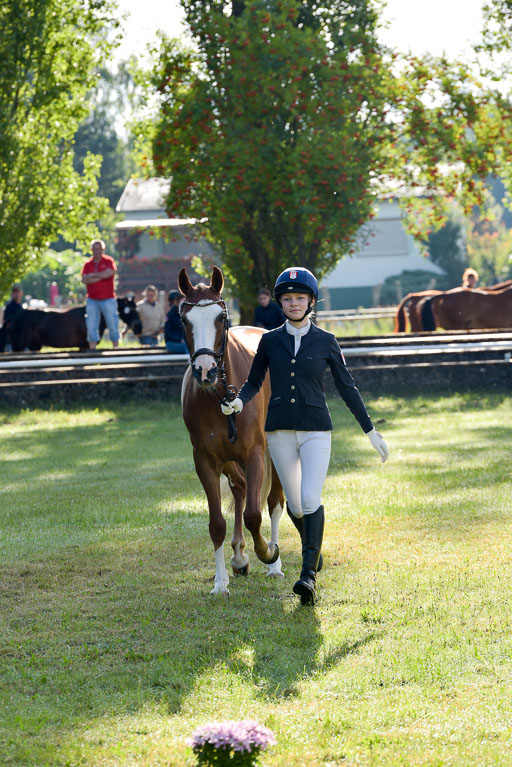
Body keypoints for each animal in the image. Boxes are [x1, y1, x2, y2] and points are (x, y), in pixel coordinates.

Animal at [0, 296, 141, 354]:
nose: (139, 327)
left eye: (136, 308)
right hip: (19, 345)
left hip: (34, 345)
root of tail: (14, 317)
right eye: (130, 310)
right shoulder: (84, 346)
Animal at [179, 268, 284, 596]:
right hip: (227, 460)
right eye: (184, 320)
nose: (205, 371)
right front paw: (220, 582)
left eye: (220, 318)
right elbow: (217, 524)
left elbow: (254, 514)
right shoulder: (205, 460)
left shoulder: (255, 455)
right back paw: (239, 557)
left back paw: (274, 563)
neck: (221, 394)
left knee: (274, 501)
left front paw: (267, 552)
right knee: (240, 488)